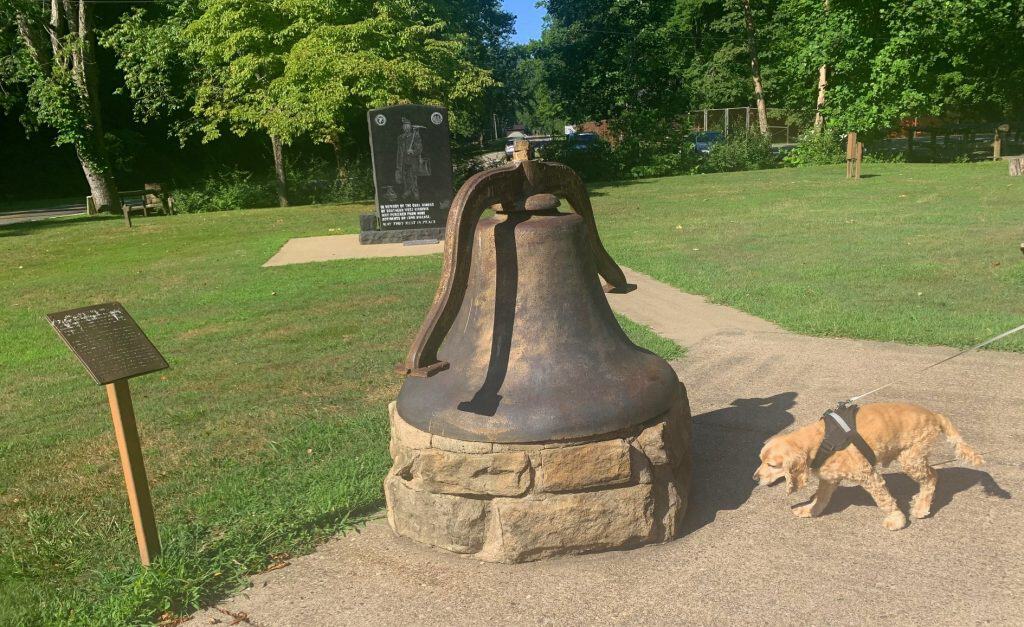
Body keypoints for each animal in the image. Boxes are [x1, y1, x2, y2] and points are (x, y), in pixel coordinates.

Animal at [753, 401, 983, 528]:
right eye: (760, 460)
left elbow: (884, 499)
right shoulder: (829, 477)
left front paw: (897, 520)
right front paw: (809, 510)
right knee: (932, 472)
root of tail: (935, 415)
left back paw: (921, 507)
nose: (754, 478)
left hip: (910, 457)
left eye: (772, 465)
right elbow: (821, 498)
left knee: (932, 476)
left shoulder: (868, 475)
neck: (820, 440)